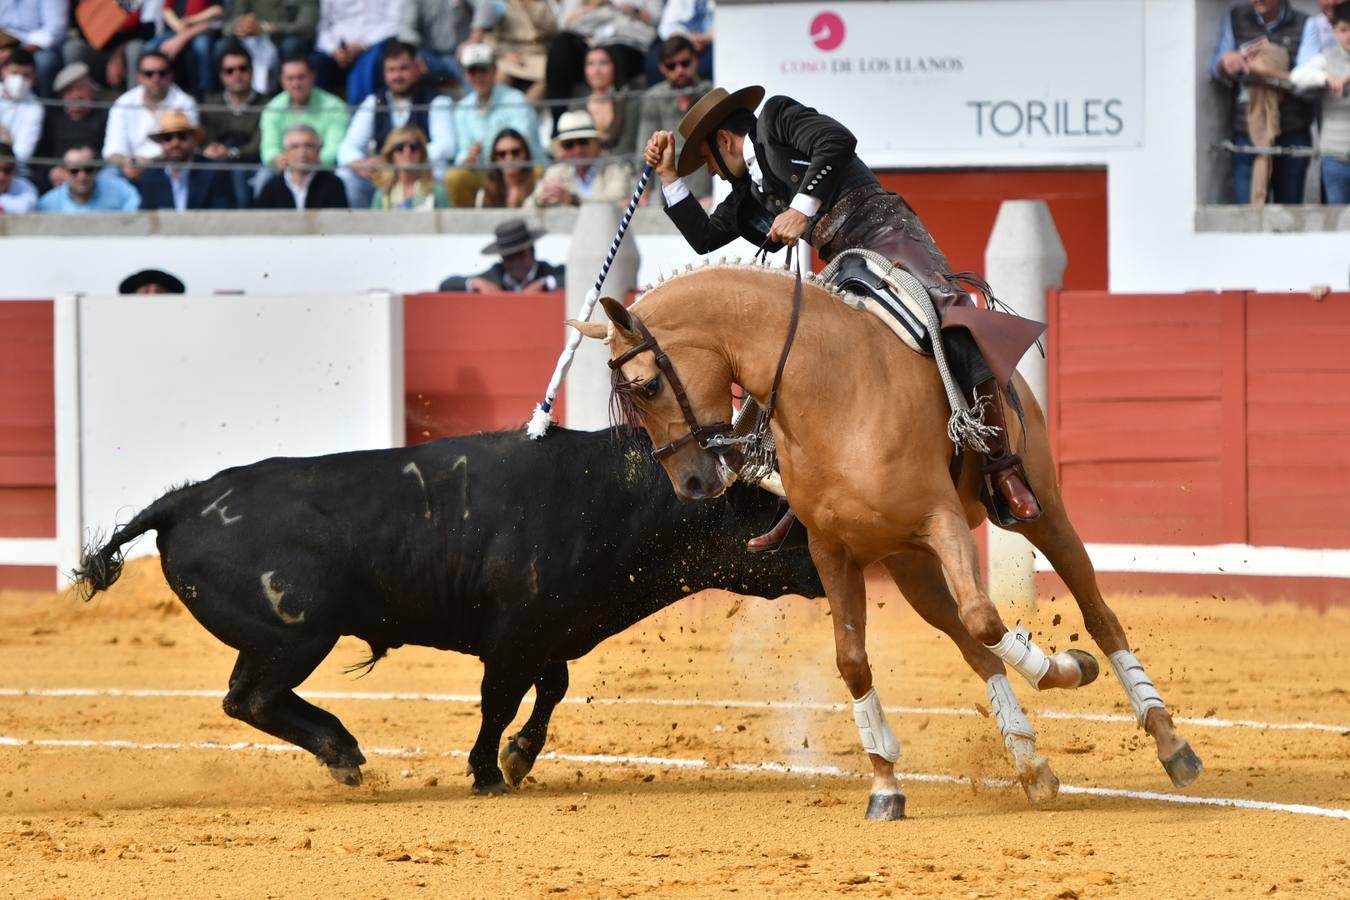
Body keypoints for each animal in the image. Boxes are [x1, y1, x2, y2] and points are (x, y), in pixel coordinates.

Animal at [73, 426, 820, 793]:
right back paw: (343, 751)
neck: (623, 497)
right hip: (295, 638)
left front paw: (519, 759)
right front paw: (489, 772)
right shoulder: (516, 637)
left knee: (247, 699)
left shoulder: (551, 631)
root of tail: (185, 501)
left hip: (279, 642)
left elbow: (550, 691)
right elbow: (500, 701)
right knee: (252, 699)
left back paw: (342, 753)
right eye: (787, 518)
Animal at [575, 260, 1209, 825]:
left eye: (649, 386)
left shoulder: (942, 520)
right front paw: (885, 785)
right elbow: (855, 660)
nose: (690, 484)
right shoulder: (833, 551)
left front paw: (1065, 668)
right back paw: (1032, 767)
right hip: (911, 567)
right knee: (975, 646)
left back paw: (1168, 741)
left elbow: (986, 616)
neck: (826, 392)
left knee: (1095, 615)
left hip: (1042, 512)